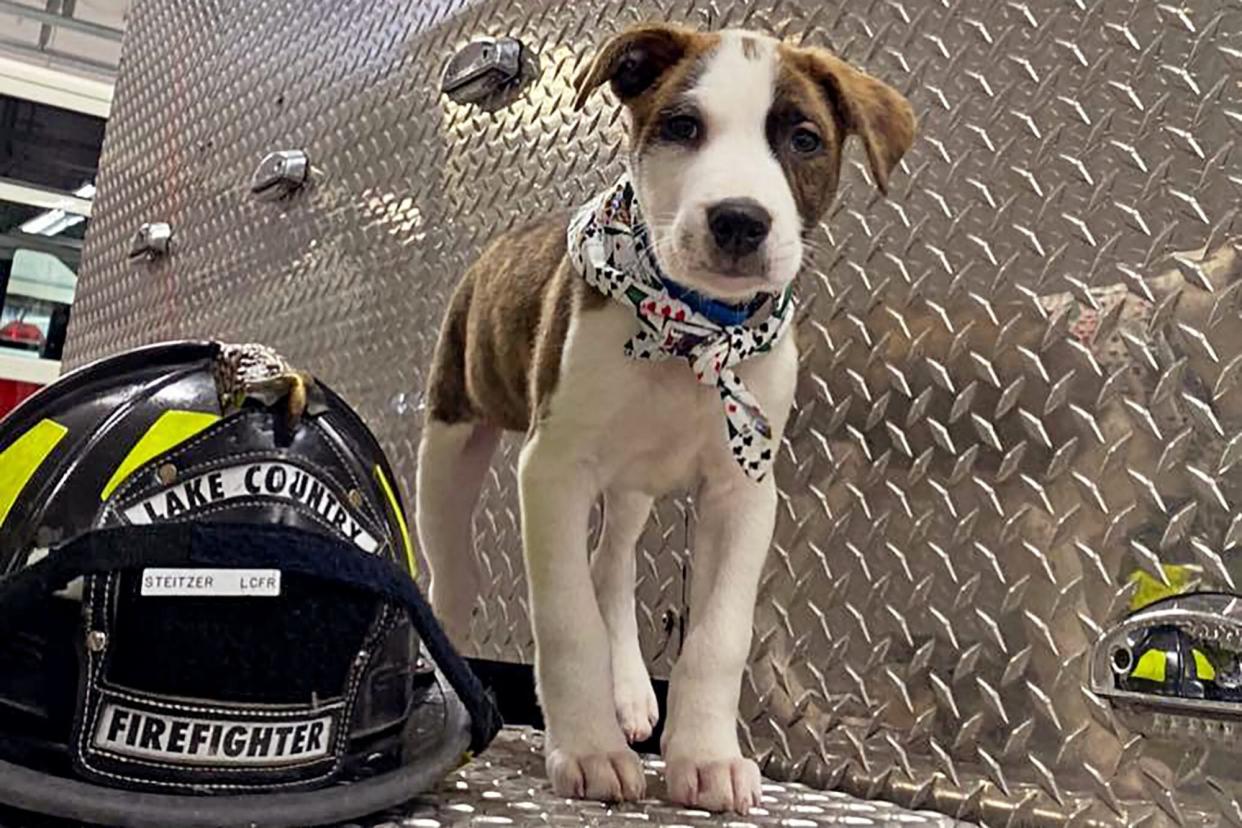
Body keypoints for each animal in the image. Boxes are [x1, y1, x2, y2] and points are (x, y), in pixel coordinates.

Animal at [414, 22, 914, 814]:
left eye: (804, 138)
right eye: (682, 127)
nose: (739, 220)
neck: (692, 329)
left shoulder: (743, 491)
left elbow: (718, 636)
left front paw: (705, 757)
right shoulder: (553, 471)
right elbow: (567, 620)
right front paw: (588, 748)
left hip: (632, 486)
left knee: (610, 563)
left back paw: (630, 693)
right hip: (451, 440)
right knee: (454, 578)